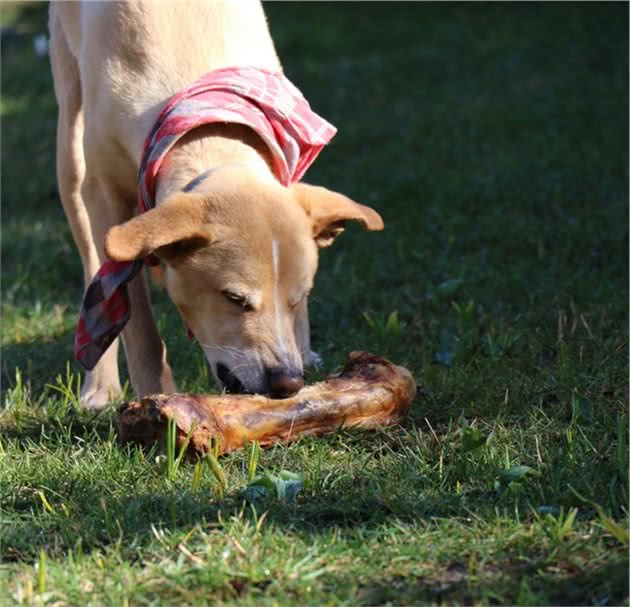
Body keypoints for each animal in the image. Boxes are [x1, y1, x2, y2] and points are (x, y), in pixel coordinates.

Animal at [49, 2, 386, 408]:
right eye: (234, 298)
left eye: (301, 296)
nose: (288, 381)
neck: (206, 132)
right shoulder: (106, 197)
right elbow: (138, 325)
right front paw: (157, 398)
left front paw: (304, 350)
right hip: (71, 152)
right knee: (92, 268)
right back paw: (99, 386)